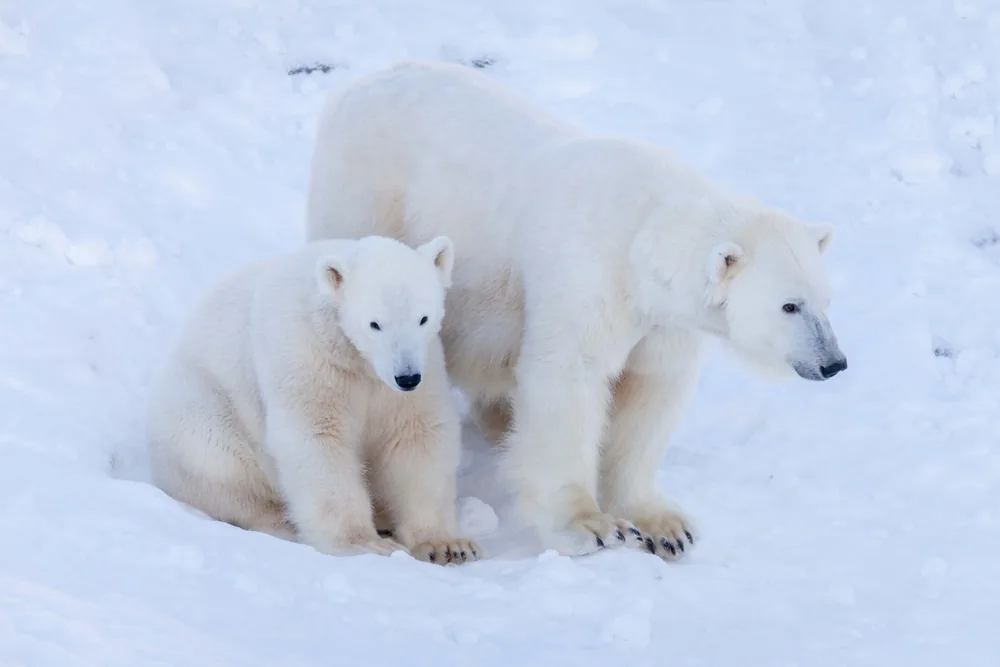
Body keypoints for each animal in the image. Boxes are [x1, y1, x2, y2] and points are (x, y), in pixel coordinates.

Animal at [145, 234, 481, 565]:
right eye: (375, 324)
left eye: (423, 318)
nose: (407, 377)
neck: (356, 359)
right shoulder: (308, 357)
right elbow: (318, 439)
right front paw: (365, 544)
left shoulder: (417, 373)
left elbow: (417, 438)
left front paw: (447, 545)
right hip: (201, 409)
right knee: (222, 464)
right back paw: (283, 520)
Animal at [304, 61, 847, 561]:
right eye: (789, 305)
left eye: (826, 298)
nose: (834, 363)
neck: (645, 234)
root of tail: (354, 86)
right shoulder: (589, 274)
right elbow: (568, 378)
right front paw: (591, 526)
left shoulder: (663, 321)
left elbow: (650, 391)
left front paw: (666, 526)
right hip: (366, 195)